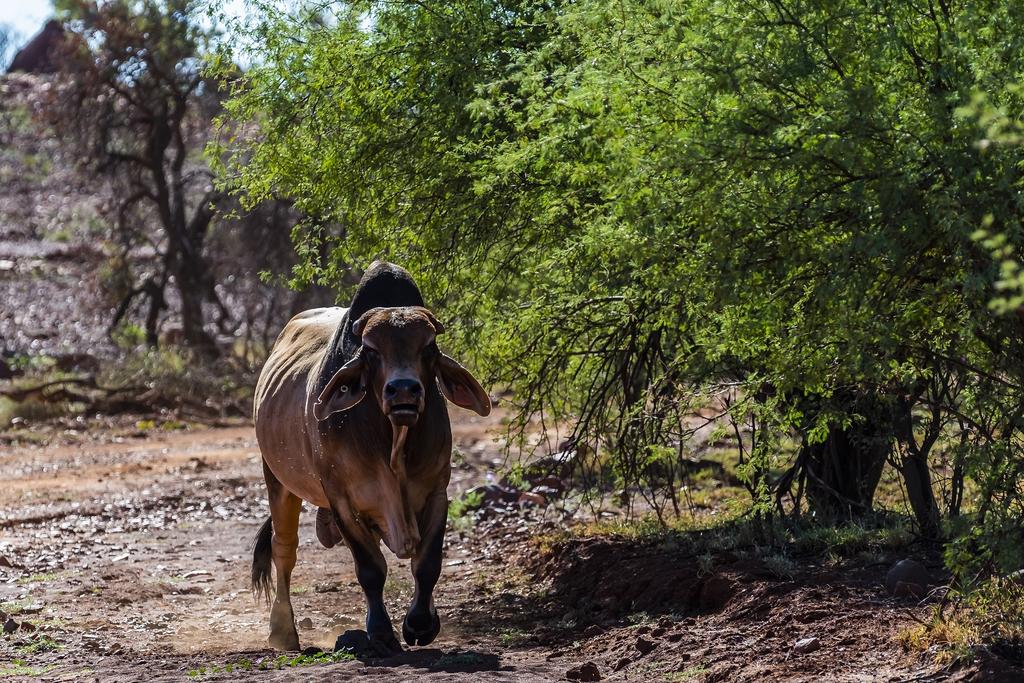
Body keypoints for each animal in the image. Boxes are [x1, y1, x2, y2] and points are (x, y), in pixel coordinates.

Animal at [251, 261, 491, 655]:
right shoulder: (343, 501)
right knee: (284, 550)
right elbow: (371, 570)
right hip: (276, 480)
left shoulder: (438, 493)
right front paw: (380, 632)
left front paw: (421, 623)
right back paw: (283, 630)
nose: (403, 390)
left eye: (428, 346)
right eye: (371, 350)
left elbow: (428, 564)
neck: (394, 444)